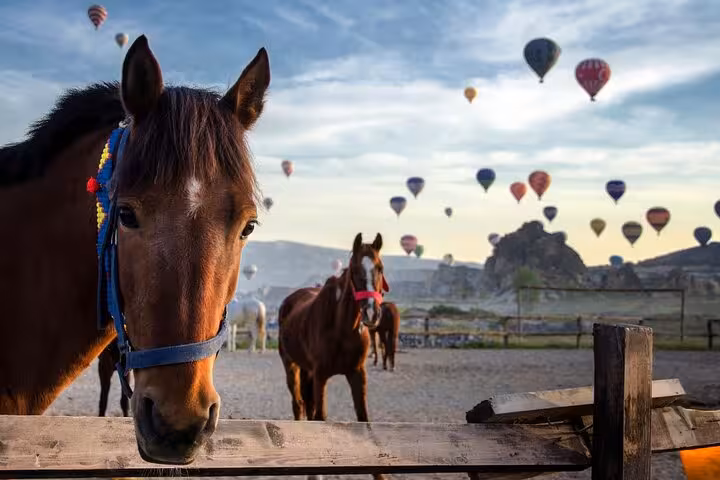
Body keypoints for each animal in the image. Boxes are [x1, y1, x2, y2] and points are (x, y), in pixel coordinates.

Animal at [278, 232, 389, 480]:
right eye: (355, 270)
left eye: (380, 267)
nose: (372, 313)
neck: (342, 328)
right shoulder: (321, 375)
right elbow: (321, 416)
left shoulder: (357, 373)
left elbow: (364, 419)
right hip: (292, 367)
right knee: (299, 405)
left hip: (307, 371)